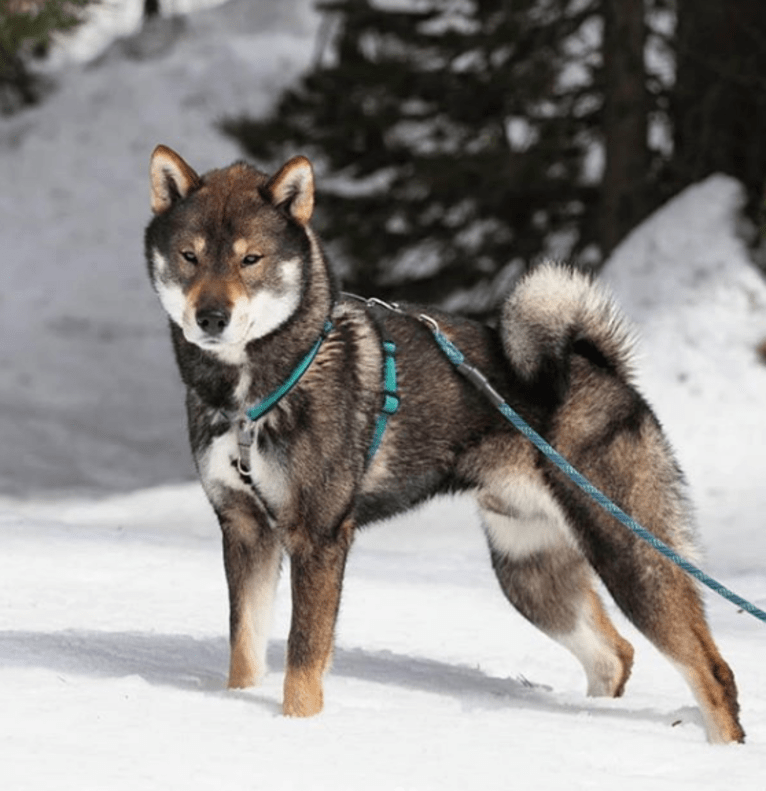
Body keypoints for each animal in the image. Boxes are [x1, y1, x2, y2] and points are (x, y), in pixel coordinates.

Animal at [142, 147, 744, 744]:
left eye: (252, 259)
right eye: (190, 256)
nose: (210, 317)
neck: (255, 391)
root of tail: (603, 370)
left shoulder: (318, 536)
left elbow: (303, 657)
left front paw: (299, 729)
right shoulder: (245, 529)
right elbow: (245, 649)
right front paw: (239, 707)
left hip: (629, 554)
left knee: (712, 670)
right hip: (529, 572)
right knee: (614, 654)